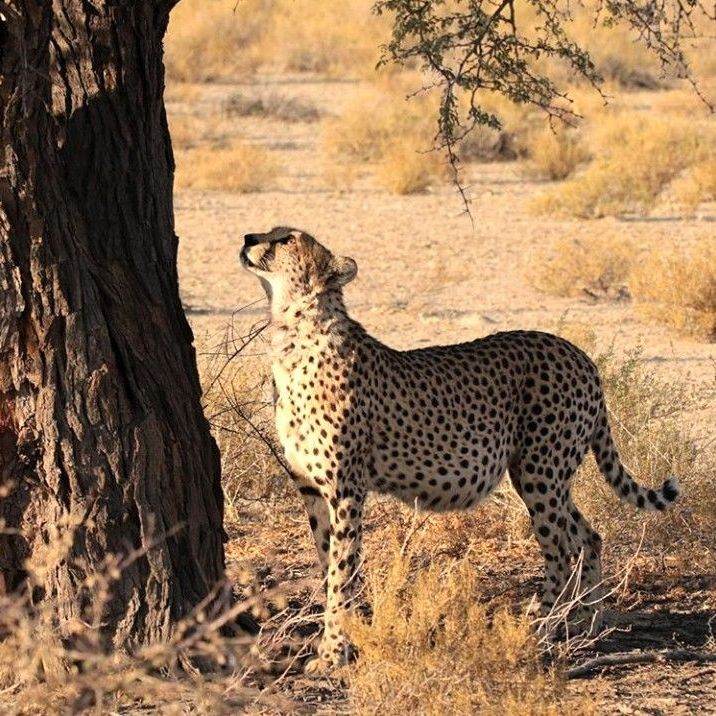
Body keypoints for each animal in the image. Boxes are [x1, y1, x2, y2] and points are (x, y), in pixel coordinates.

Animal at [239, 225, 680, 674]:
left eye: (288, 239)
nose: (248, 237)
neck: (293, 334)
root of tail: (578, 353)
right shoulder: (310, 488)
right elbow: (328, 563)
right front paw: (341, 639)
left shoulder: (346, 489)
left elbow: (342, 573)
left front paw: (332, 655)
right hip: (545, 476)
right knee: (589, 535)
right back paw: (587, 622)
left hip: (539, 472)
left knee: (561, 547)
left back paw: (539, 626)